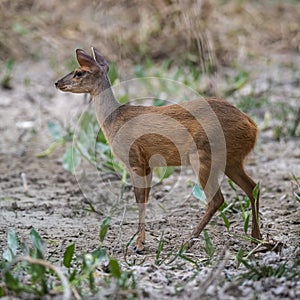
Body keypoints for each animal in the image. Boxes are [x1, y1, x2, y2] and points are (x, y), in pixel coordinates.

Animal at [55, 47, 262, 253]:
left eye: (79, 72)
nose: (57, 82)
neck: (114, 120)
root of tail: (252, 125)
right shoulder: (147, 164)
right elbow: (145, 198)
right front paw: (141, 241)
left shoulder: (134, 160)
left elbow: (139, 199)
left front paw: (138, 244)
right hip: (231, 160)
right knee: (252, 187)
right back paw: (256, 238)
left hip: (204, 155)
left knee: (217, 199)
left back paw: (187, 241)